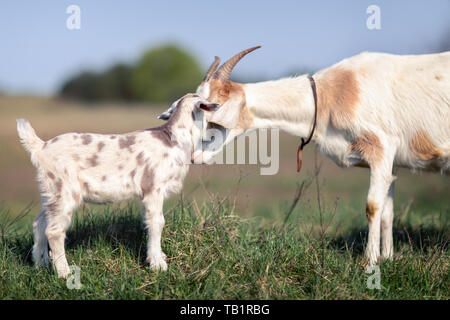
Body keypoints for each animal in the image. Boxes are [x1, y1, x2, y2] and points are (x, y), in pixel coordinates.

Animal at [17, 93, 220, 278]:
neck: (174, 139)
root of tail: (40, 147)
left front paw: (159, 256)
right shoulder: (153, 189)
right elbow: (157, 222)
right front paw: (158, 264)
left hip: (51, 192)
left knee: (39, 224)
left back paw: (40, 264)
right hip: (64, 191)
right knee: (54, 231)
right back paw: (64, 273)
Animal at [162, 47, 450, 264]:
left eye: (213, 108)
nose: (195, 155)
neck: (330, 95)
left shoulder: (381, 147)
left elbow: (373, 206)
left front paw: (370, 263)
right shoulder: (390, 161)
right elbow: (388, 209)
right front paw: (387, 258)